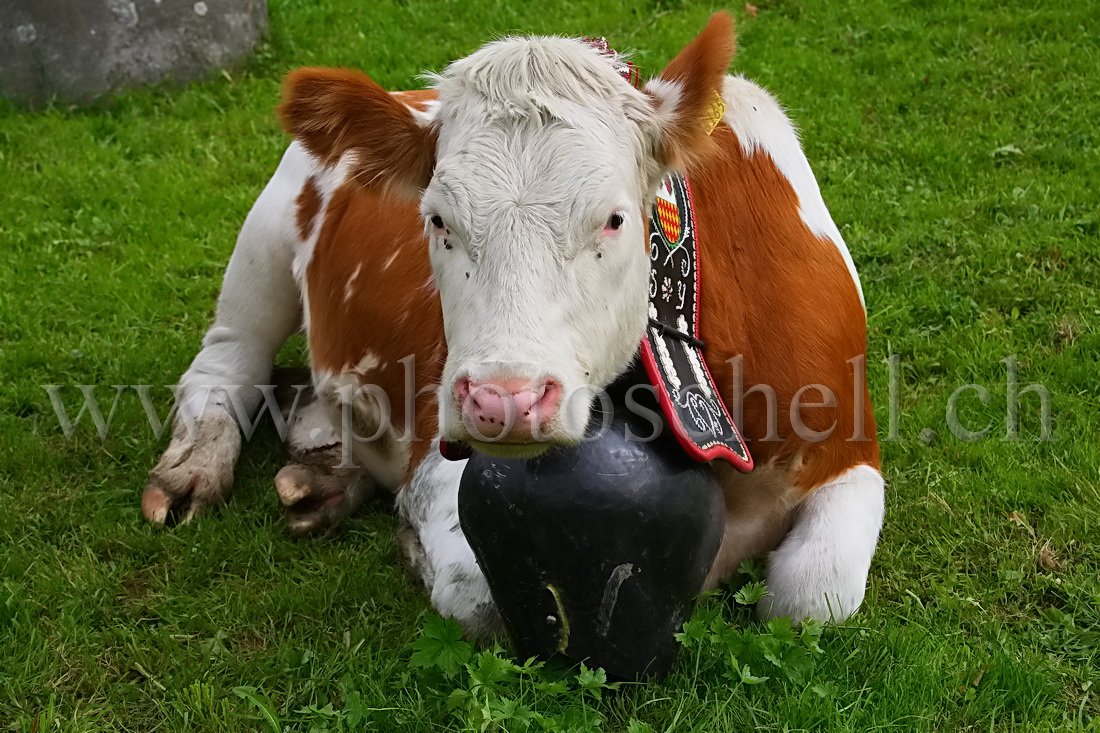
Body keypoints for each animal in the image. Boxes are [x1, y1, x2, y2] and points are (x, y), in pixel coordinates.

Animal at [144, 14, 884, 638]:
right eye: (437, 219)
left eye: (614, 218)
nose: (504, 400)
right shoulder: (439, 453)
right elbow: (479, 592)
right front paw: (413, 546)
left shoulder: (850, 443)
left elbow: (810, 598)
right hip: (265, 240)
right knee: (225, 363)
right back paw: (195, 467)